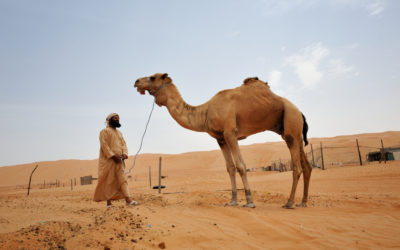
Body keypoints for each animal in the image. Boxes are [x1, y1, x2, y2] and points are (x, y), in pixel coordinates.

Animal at [134, 73, 312, 209]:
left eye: (153, 77)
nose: (136, 81)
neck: (205, 112)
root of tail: (300, 112)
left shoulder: (230, 133)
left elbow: (241, 166)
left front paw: (249, 202)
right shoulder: (220, 138)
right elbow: (230, 168)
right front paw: (232, 201)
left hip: (291, 122)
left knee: (296, 167)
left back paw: (289, 203)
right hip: (293, 131)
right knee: (307, 166)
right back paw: (303, 202)